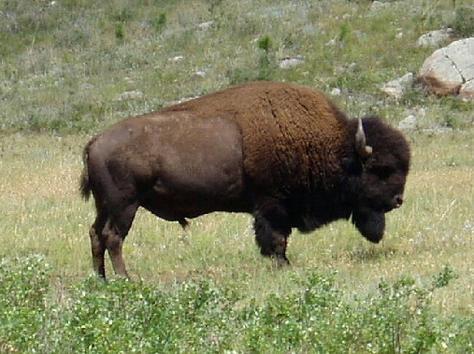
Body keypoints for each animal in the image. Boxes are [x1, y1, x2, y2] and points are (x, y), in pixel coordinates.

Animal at [79, 81, 410, 278]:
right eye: (381, 169)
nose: (398, 200)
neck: (338, 148)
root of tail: (95, 142)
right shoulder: (272, 204)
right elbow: (277, 238)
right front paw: (283, 266)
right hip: (125, 205)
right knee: (113, 237)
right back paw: (126, 279)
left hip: (106, 205)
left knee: (96, 235)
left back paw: (101, 279)